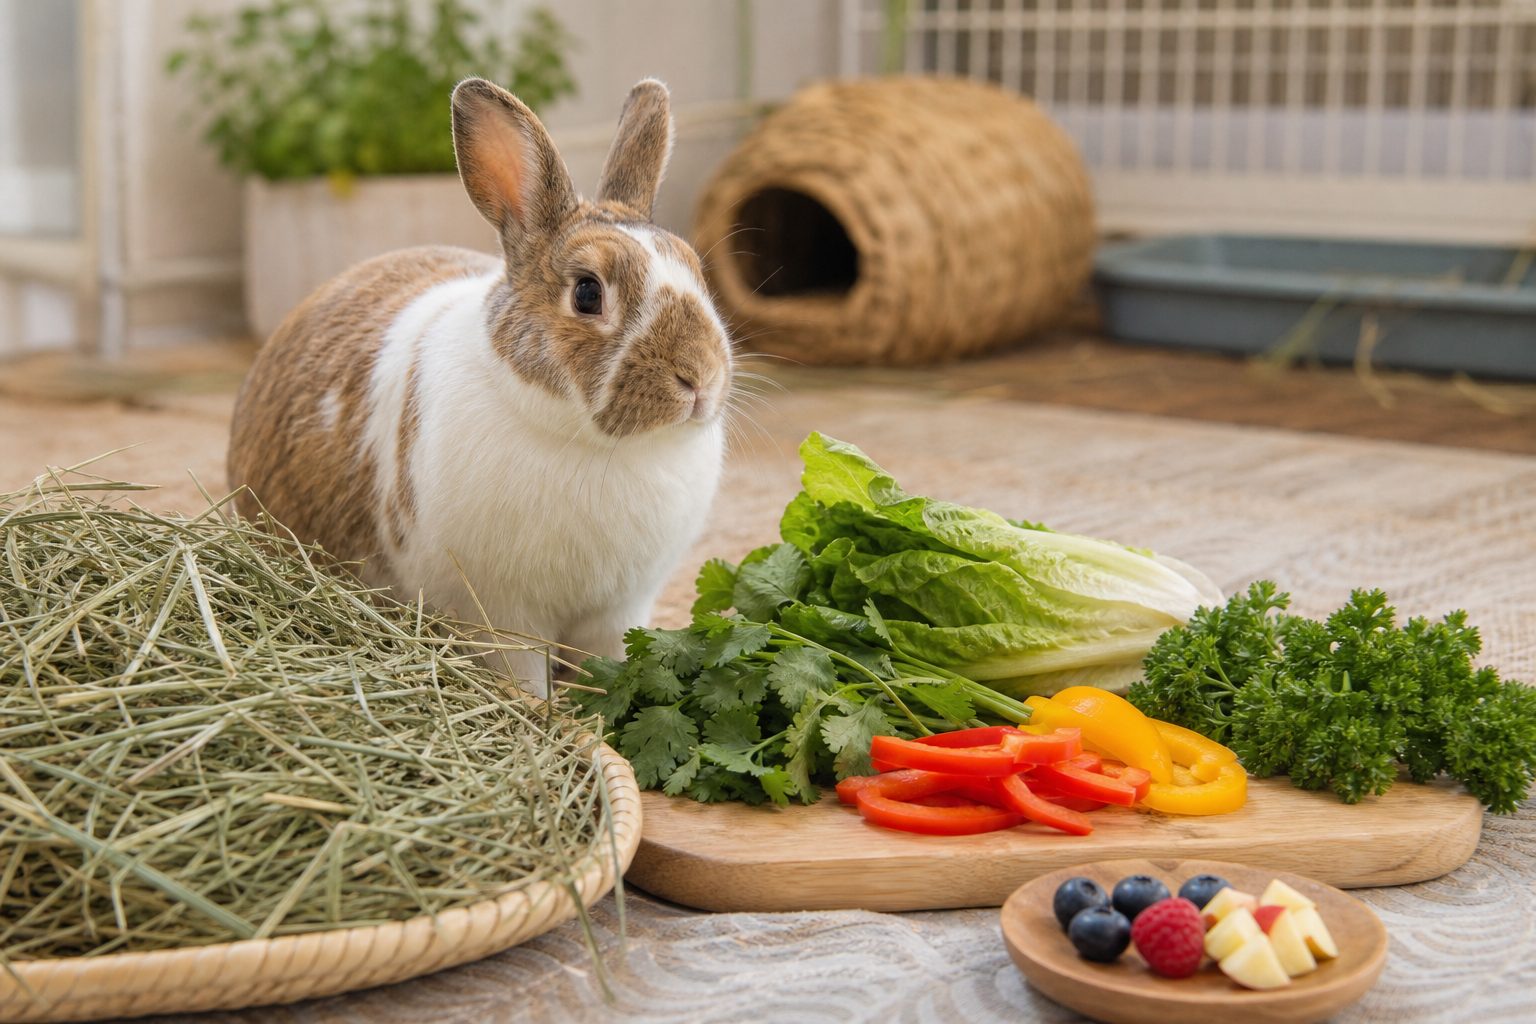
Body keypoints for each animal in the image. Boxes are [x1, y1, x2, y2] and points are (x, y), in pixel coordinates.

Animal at [227, 77, 733, 695]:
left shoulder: (618, 612)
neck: (593, 446)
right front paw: (539, 713)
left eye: (697, 272)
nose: (700, 376)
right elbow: (521, 676)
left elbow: (606, 664)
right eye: (588, 293)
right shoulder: (500, 616)